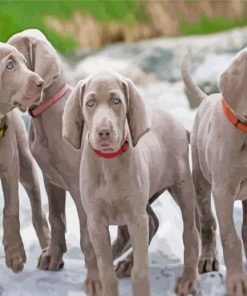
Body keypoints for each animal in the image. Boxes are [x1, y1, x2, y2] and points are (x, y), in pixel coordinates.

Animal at [8, 29, 160, 294]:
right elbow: (56, 218)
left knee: (147, 223)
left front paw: (95, 280)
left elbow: (85, 235)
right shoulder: (52, 180)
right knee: (149, 222)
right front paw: (53, 256)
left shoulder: (80, 189)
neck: (47, 113)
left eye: (18, 59)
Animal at [62, 71, 200, 296]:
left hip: (182, 188)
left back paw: (188, 278)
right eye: (90, 103)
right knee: (153, 222)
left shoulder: (135, 218)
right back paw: (126, 262)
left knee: (190, 233)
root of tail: (178, 123)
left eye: (116, 101)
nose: (104, 132)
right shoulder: (96, 223)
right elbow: (106, 270)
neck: (109, 162)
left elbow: (141, 270)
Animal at [181, 51, 247, 296]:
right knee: (207, 221)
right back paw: (208, 258)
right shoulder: (222, 191)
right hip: (200, 179)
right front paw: (237, 282)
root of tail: (208, 98)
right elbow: (230, 237)